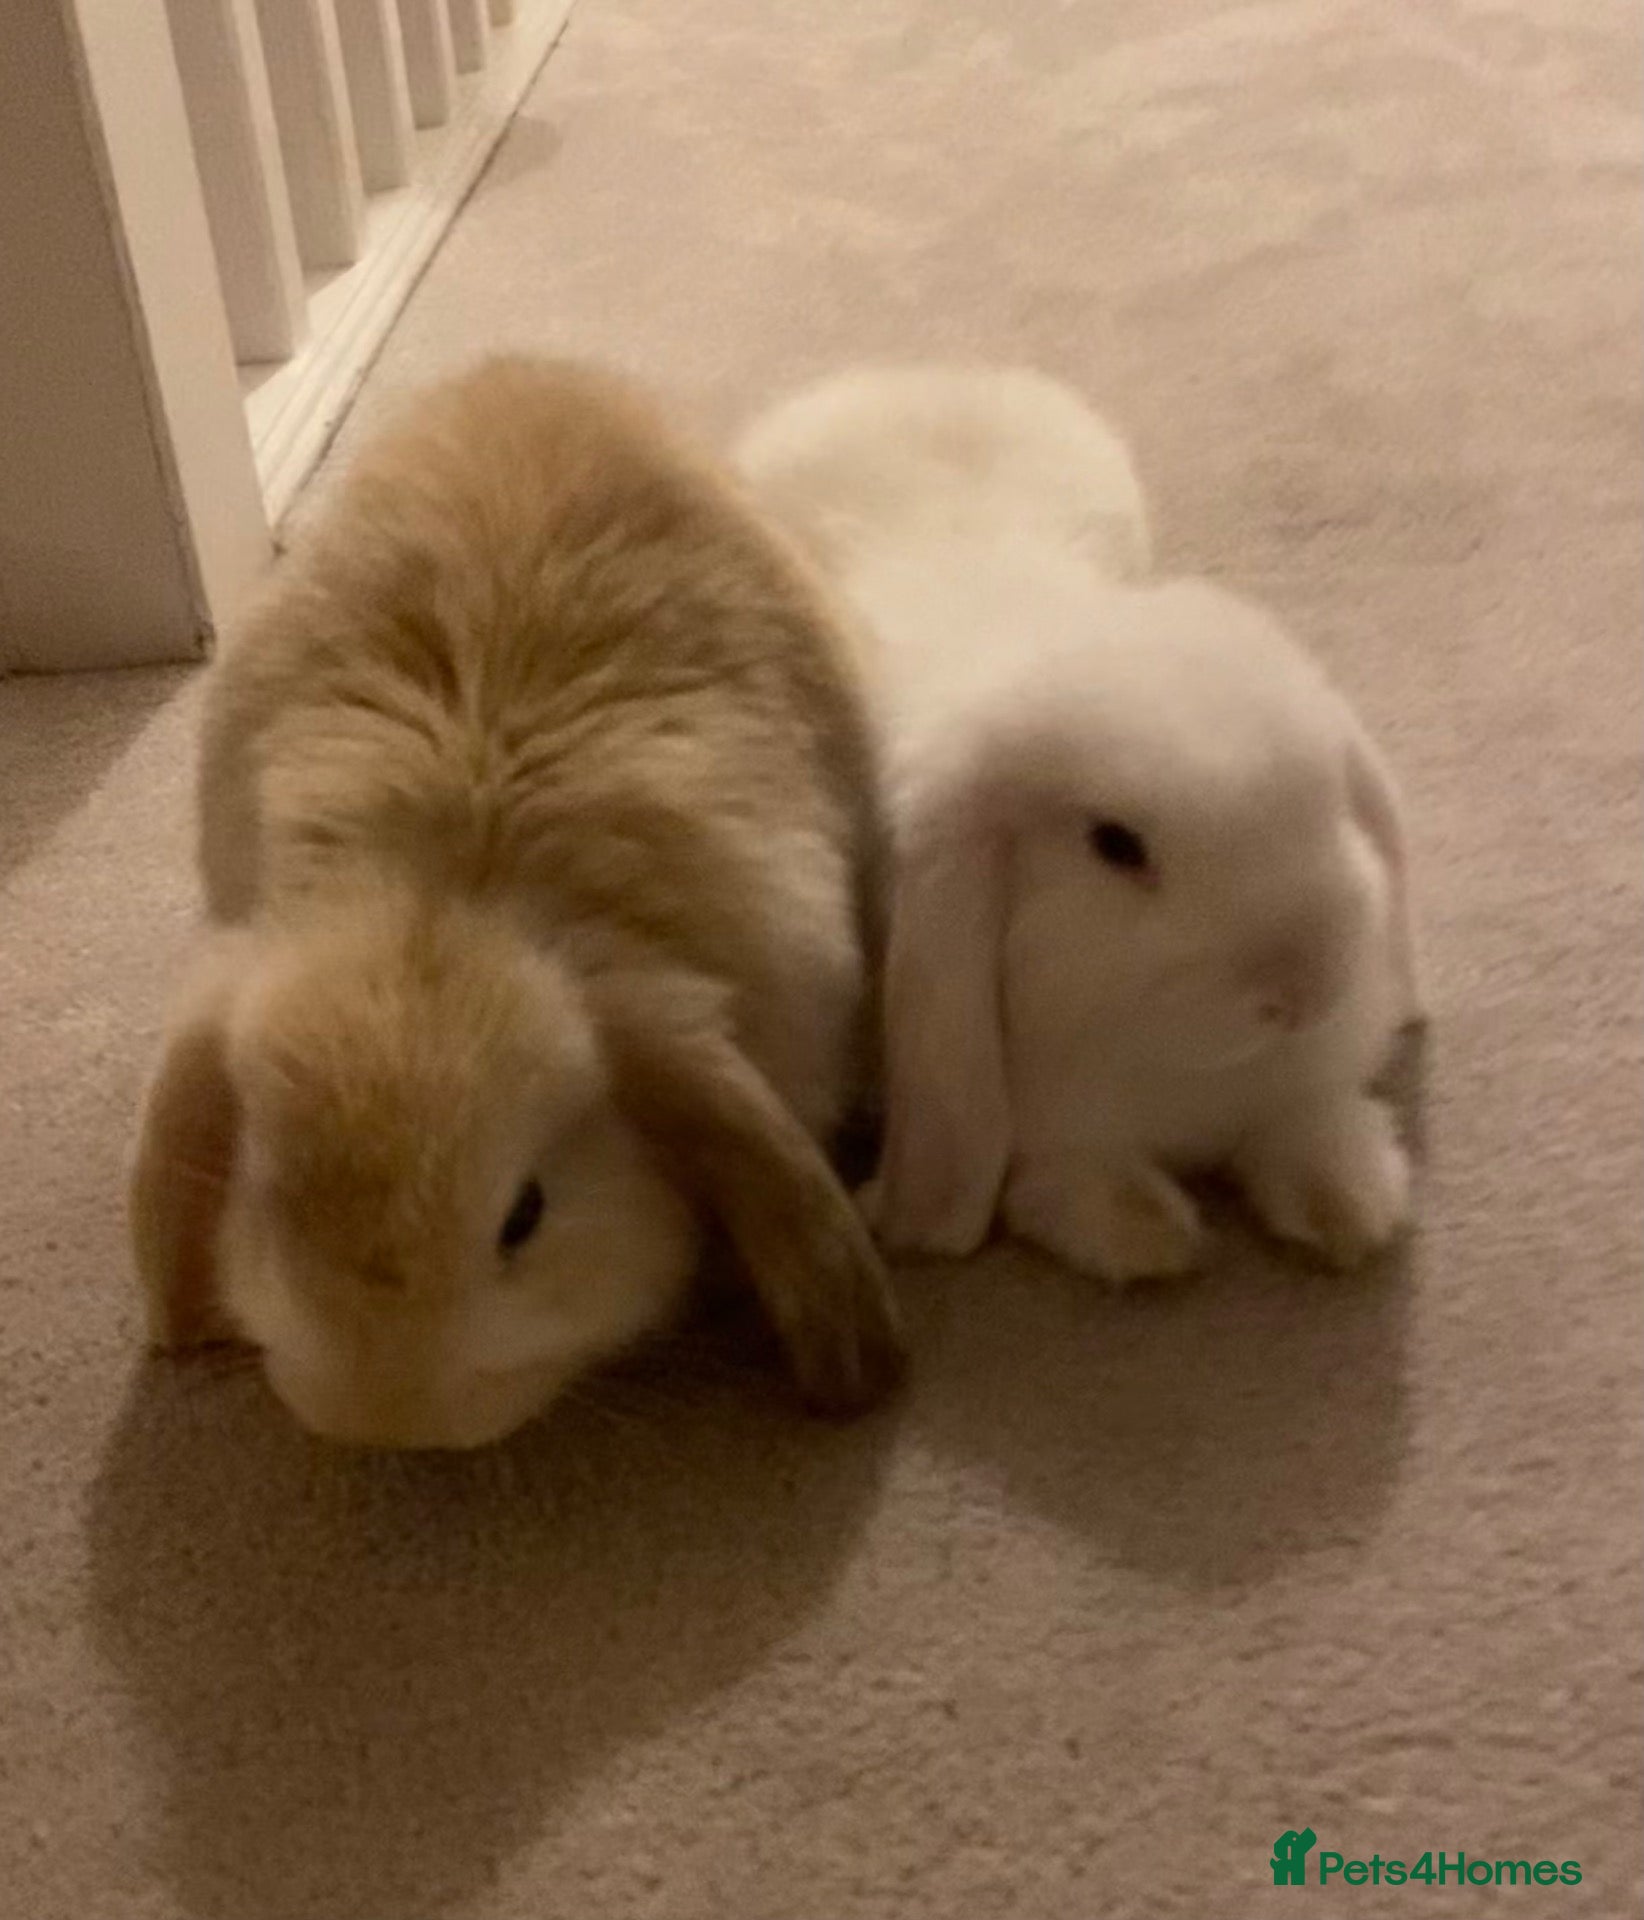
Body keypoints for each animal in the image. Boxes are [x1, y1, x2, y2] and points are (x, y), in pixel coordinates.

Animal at [737, 365, 1422, 1284]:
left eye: (1327, 800)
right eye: (1115, 846)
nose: (1302, 989)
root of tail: (908, 374)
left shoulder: (1293, 1086)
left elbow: (1306, 1124)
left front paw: (1349, 1206)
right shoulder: (1044, 1121)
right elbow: (1065, 1178)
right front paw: (1149, 1236)